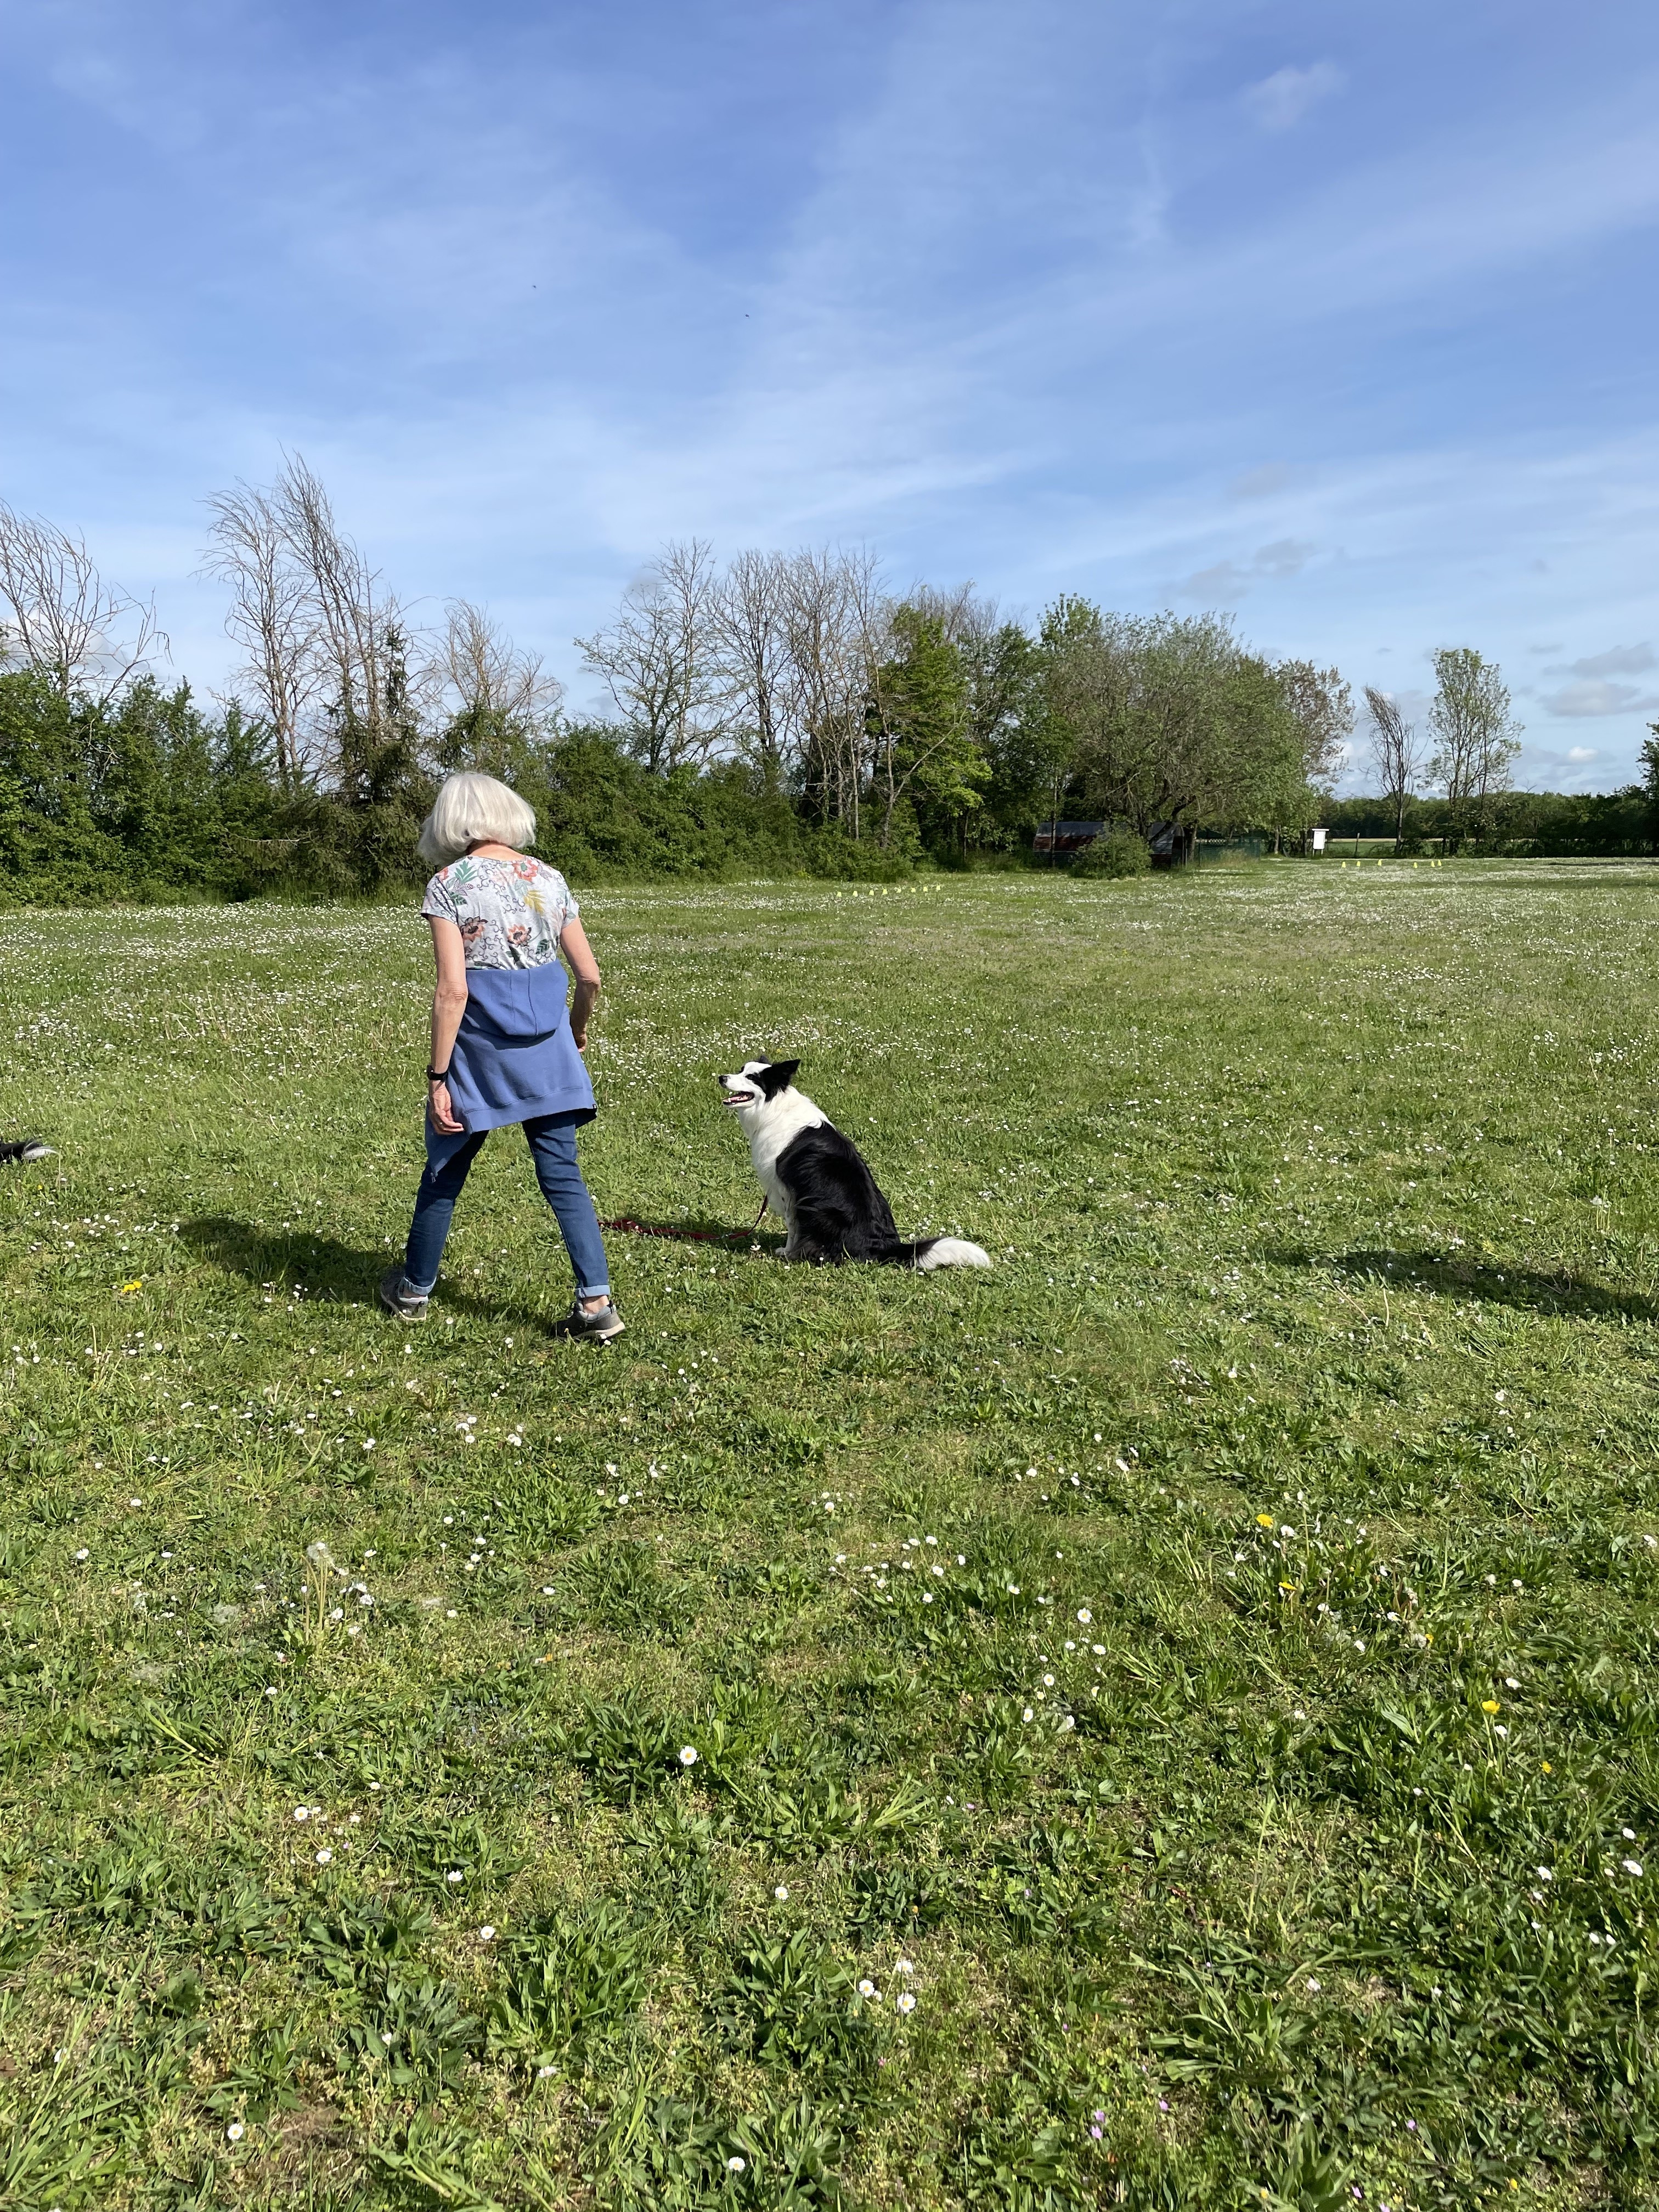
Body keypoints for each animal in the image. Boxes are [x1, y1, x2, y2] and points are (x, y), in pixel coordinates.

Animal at [721, 1062, 995, 1274]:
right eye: (741, 1069)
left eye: (751, 1078)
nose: (721, 1077)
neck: (774, 1107)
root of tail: (884, 1245)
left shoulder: (789, 1192)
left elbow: (792, 1227)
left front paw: (787, 1252)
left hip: (819, 1212)